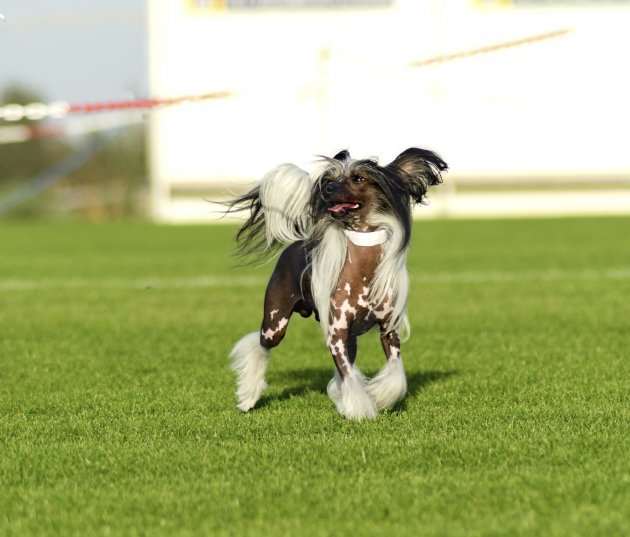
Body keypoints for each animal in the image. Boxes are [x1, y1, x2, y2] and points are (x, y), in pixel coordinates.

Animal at [225, 147, 446, 418]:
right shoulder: (337, 335)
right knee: (260, 345)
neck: (364, 271)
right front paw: (359, 409)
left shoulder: (387, 330)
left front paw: (378, 397)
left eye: (359, 178)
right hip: (275, 323)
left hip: (350, 338)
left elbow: (395, 373)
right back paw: (248, 397)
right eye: (330, 180)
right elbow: (348, 375)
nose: (327, 189)